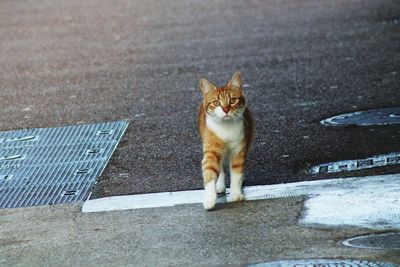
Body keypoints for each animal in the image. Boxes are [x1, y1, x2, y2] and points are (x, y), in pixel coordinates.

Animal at [199, 72, 255, 210]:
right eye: (216, 102)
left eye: (232, 100)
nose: (225, 109)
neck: (226, 128)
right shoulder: (212, 150)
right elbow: (209, 171)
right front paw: (209, 199)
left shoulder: (239, 150)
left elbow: (236, 173)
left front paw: (236, 194)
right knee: (220, 166)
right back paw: (219, 186)